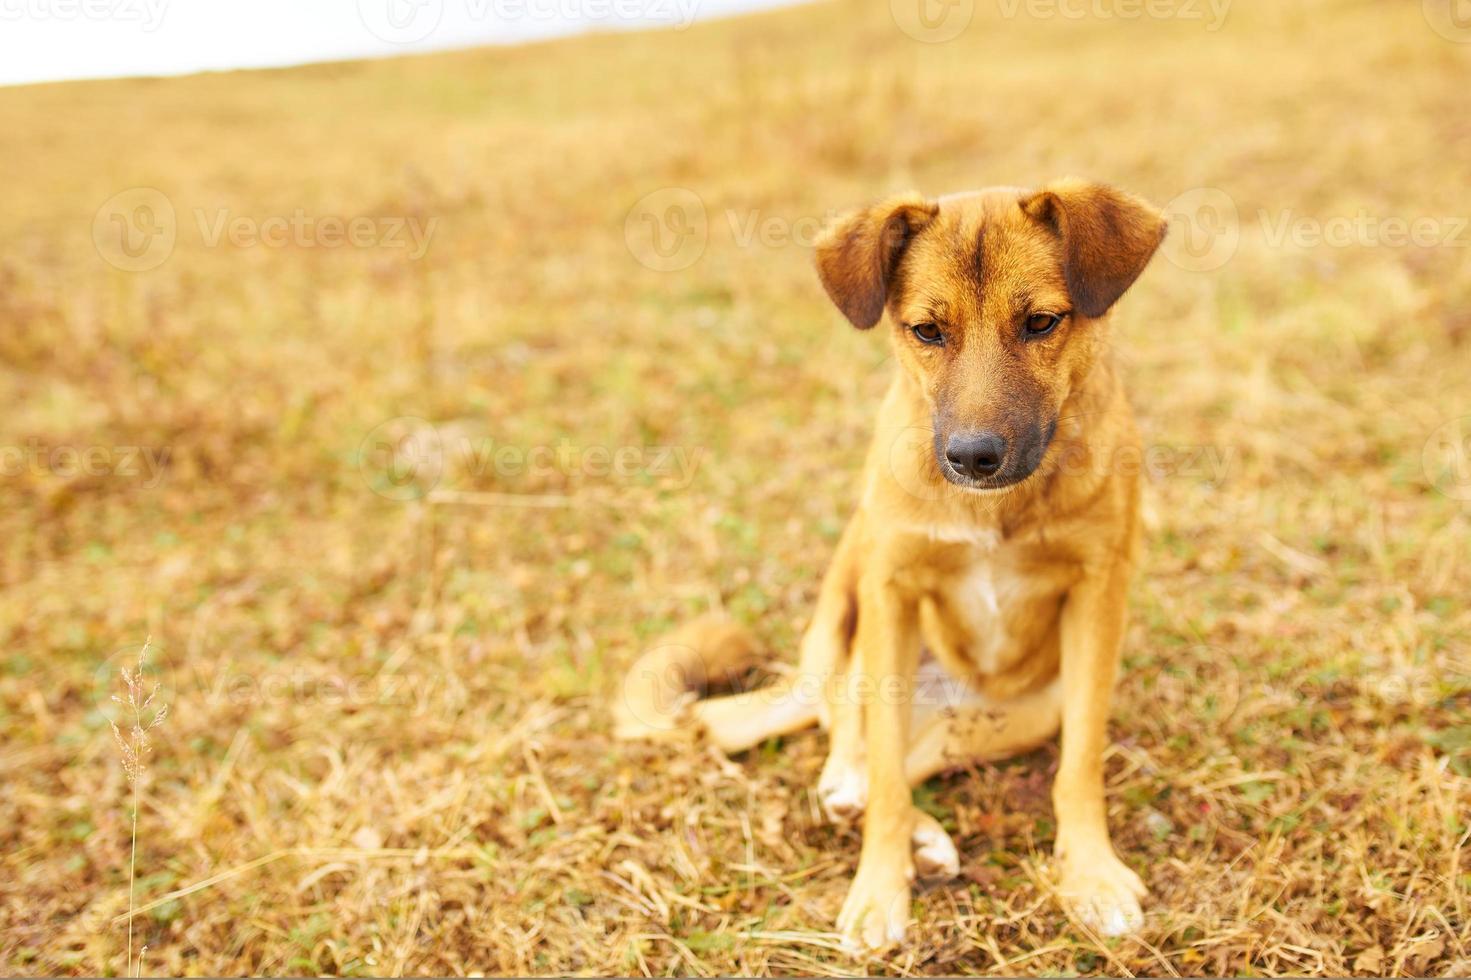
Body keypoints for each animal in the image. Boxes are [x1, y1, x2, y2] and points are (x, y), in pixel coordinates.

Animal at [614, 175, 1165, 947]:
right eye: (927, 331)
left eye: (1041, 323)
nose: (971, 457)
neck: (995, 508)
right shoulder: (891, 589)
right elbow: (882, 779)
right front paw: (878, 891)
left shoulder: (1097, 595)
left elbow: (1081, 759)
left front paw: (1088, 872)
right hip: (855, 572)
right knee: (858, 748)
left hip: (1013, 712)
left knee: (901, 762)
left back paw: (921, 839)